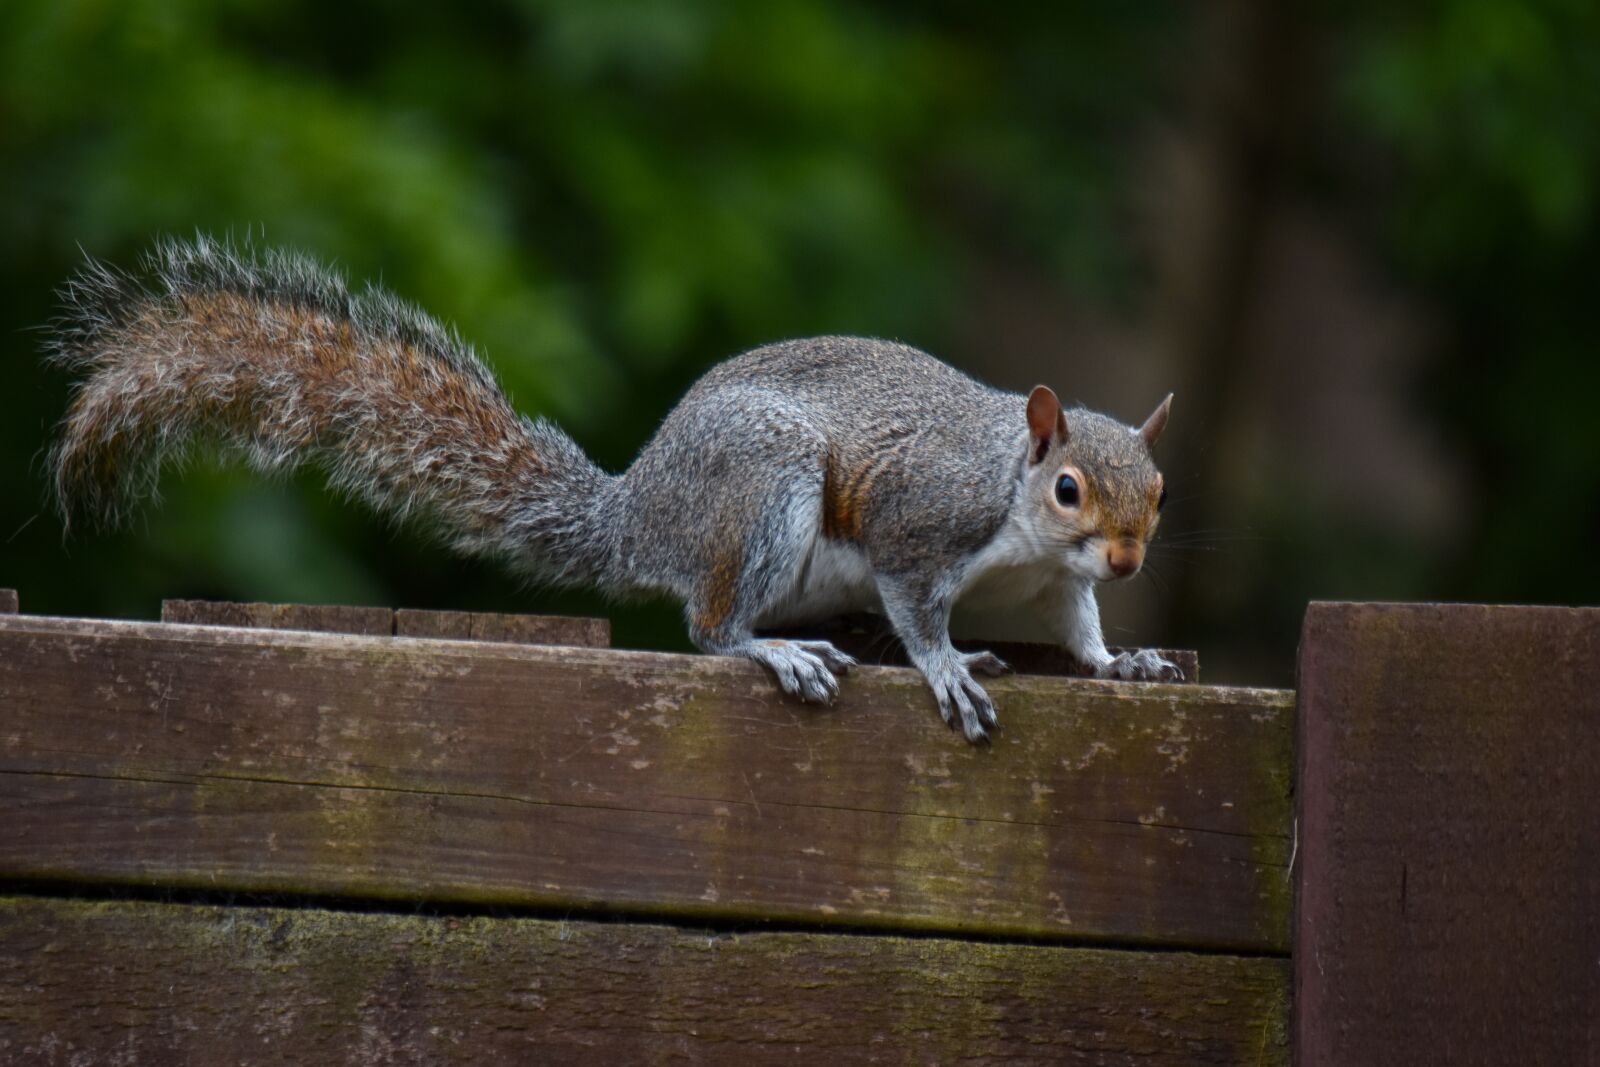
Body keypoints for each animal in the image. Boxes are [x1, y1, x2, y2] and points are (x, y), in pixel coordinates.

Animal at [45, 236, 1180, 742]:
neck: (1020, 524)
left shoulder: (1060, 587)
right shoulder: (923, 519)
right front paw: (944, 665)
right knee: (710, 625)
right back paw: (773, 647)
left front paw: (1126, 660)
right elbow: (916, 602)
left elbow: (1080, 630)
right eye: (1069, 487)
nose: (1130, 559)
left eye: (1160, 491)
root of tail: (638, 512)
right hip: (763, 492)